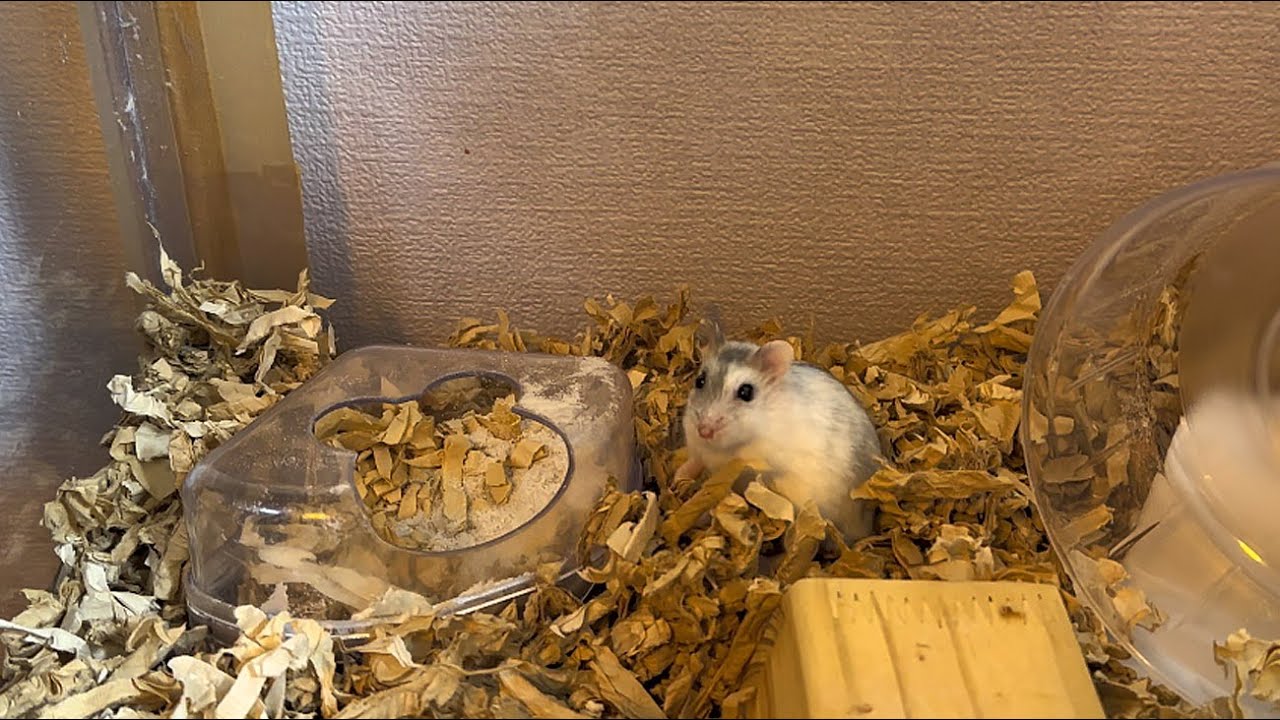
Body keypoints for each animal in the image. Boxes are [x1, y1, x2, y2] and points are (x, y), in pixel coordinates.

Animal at [675, 319, 883, 543]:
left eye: (746, 392)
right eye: (700, 380)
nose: (704, 431)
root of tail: (866, 528)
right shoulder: (697, 448)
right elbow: (693, 462)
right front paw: (678, 478)